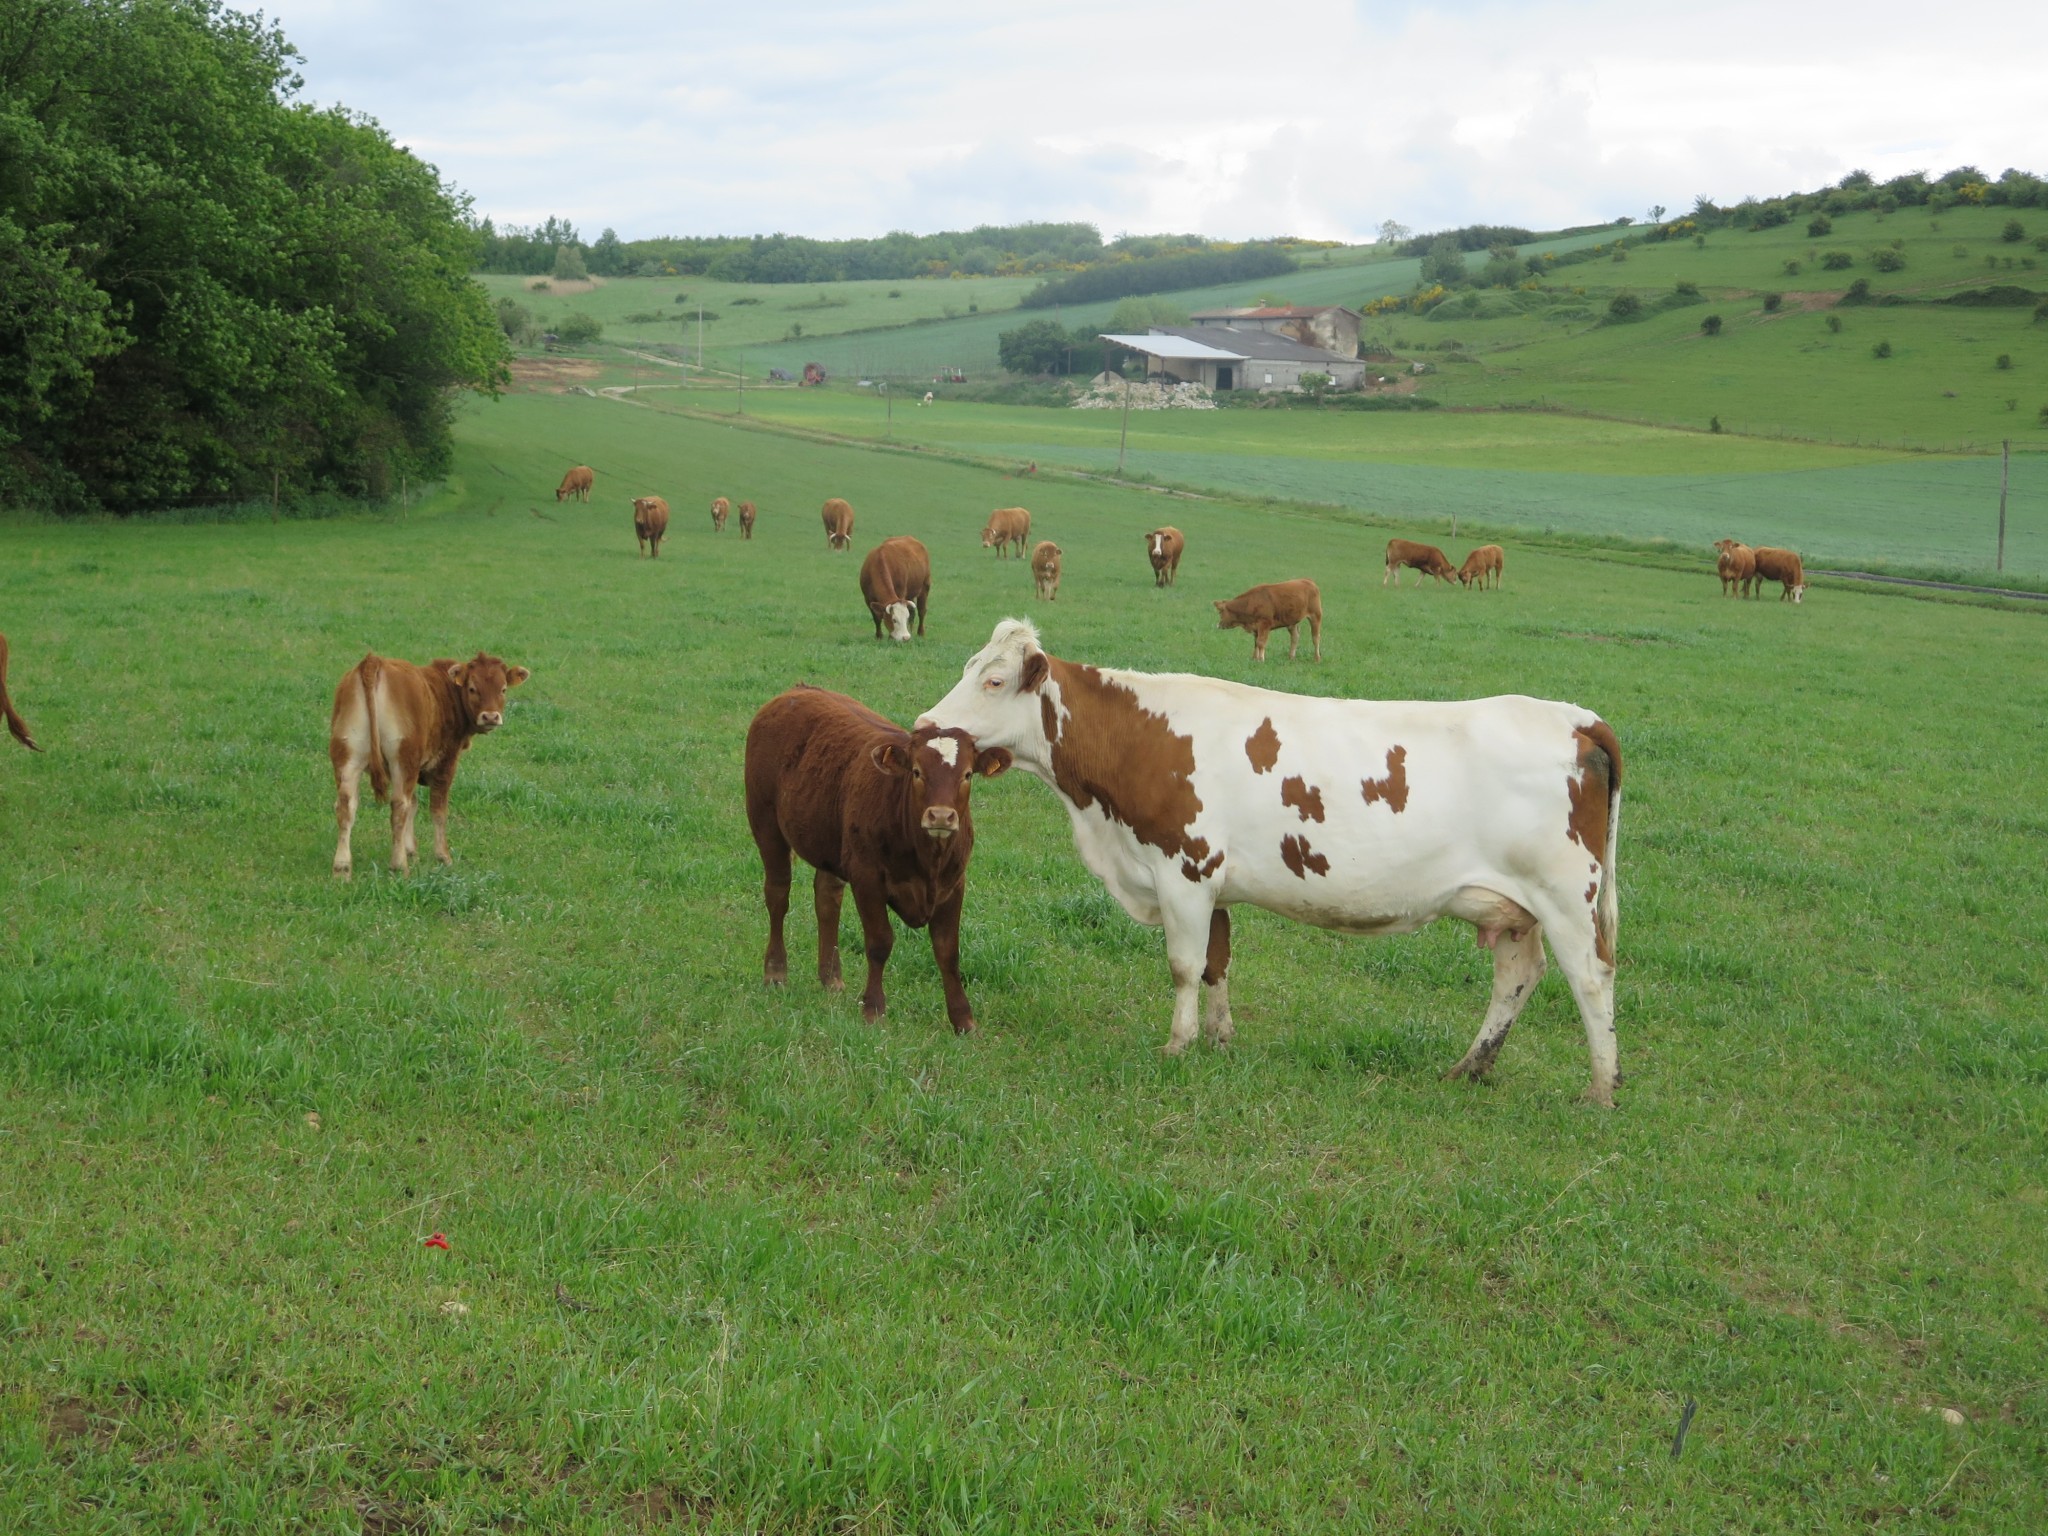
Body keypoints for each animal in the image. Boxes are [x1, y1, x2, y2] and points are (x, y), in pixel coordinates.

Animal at [327, 655, 528, 884]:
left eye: (503, 689)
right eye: (472, 688)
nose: (491, 717)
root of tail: (373, 661)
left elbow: (414, 805)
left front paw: (411, 851)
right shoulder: (445, 764)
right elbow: (438, 811)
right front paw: (443, 857)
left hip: (348, 756)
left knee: (346, 807)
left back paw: (342, 869)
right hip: (402, 760)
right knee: (399, 806)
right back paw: (399, 866)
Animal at [749, 688, 1011, 1036]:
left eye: (967, 774)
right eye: (917, 772)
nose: (941, 816)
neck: (928, 860)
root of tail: (795, 692)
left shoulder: (954, 884)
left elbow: (948, 951)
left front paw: (963, 1020)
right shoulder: (867, 878)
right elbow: (879, 942)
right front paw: (873, 1009)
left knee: (827, 899)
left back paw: (831, 978)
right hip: (765, 823)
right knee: (778, 894)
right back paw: (776, 972)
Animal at [921, 622, 1622, 1105]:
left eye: (992, 681)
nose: (925, 722)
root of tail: (1575, 717)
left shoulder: (1184, 870)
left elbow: (1182, 967)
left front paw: (1177, 1046)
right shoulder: (1213, 884)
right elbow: (1215, 964)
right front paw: (1220, 1039)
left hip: (1566, 898)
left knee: (1591, 980)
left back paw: (1601, 1088)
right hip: (1512, 908)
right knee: (1518, 977)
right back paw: (1470, 1067)